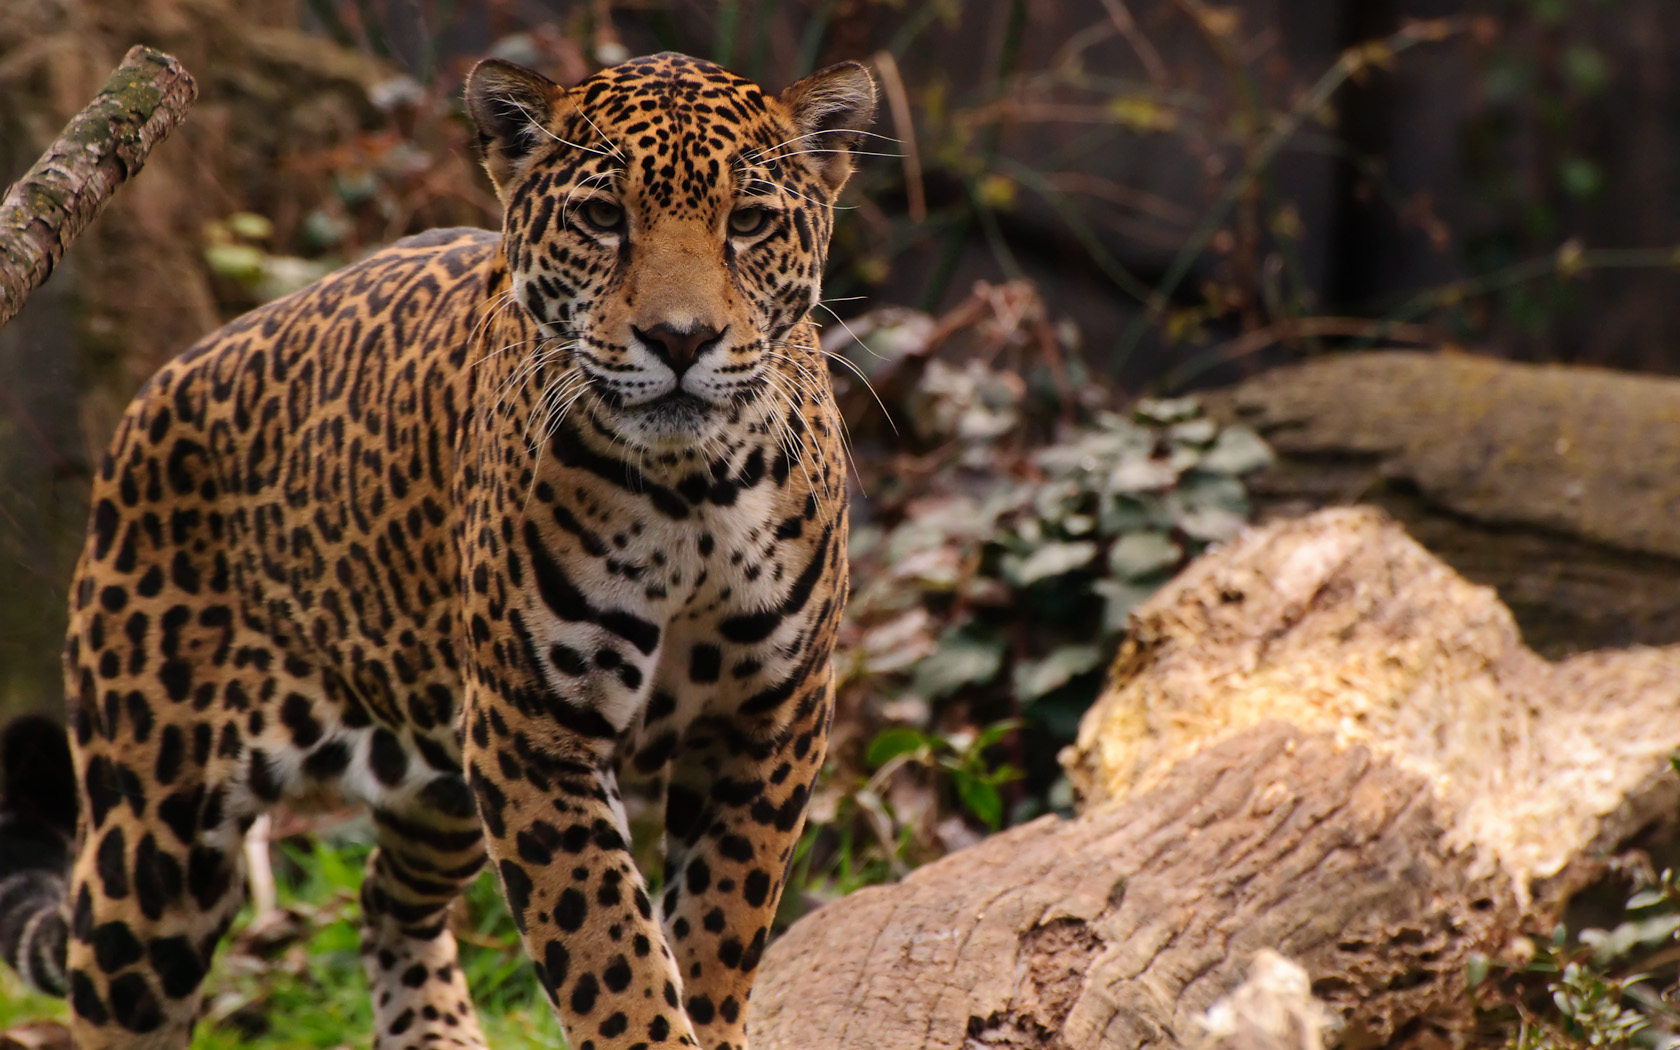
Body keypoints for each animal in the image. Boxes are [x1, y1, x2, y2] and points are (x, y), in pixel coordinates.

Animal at [0, 50, 873, 1050]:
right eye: (603, 218)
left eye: (750, 223)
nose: (680, 339)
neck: (690, 489)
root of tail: (155, 390)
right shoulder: (535, 739)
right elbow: (612, 955)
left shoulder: (767, 722)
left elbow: (718, 935)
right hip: (152, 843)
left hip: (440, 784)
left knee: (387, 898)